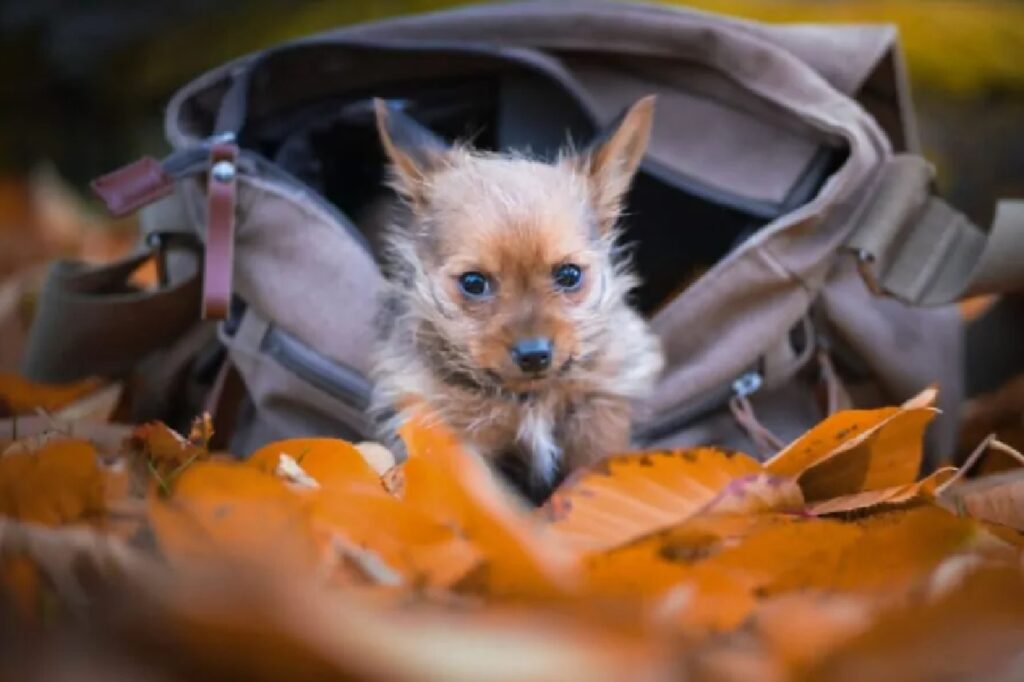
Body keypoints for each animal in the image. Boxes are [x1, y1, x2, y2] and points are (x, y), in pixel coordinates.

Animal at [368, 94, 663, 499]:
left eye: (569, 275)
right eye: (473, 283)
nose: (534, 354)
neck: (529, 400)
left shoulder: (601, 413)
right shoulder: (458, 438)